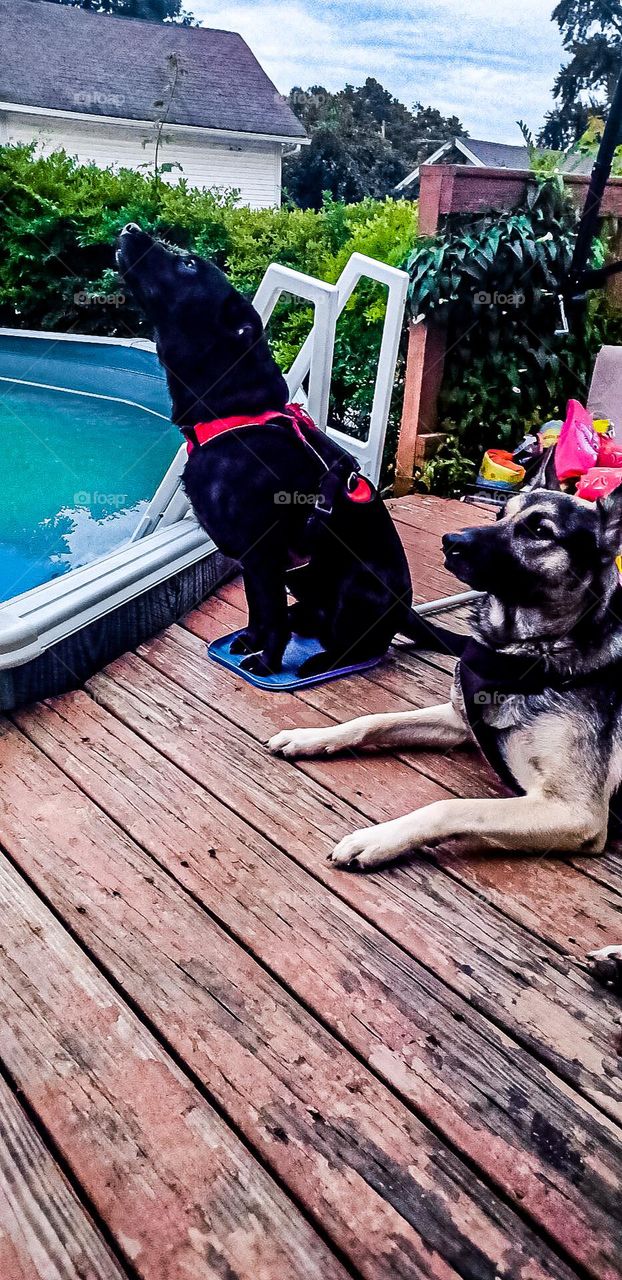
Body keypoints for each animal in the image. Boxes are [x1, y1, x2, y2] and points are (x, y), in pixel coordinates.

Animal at [115, 224, 460, 675]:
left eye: (188, 263)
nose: (130, 228)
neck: (233, 413)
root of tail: (406, 611)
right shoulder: (252, 562)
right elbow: (257, 609)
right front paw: (251, 641)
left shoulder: (263, 553)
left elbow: (272, 616)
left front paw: (267, 660)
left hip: (357, 586)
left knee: (364, 646)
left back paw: (320, 661)